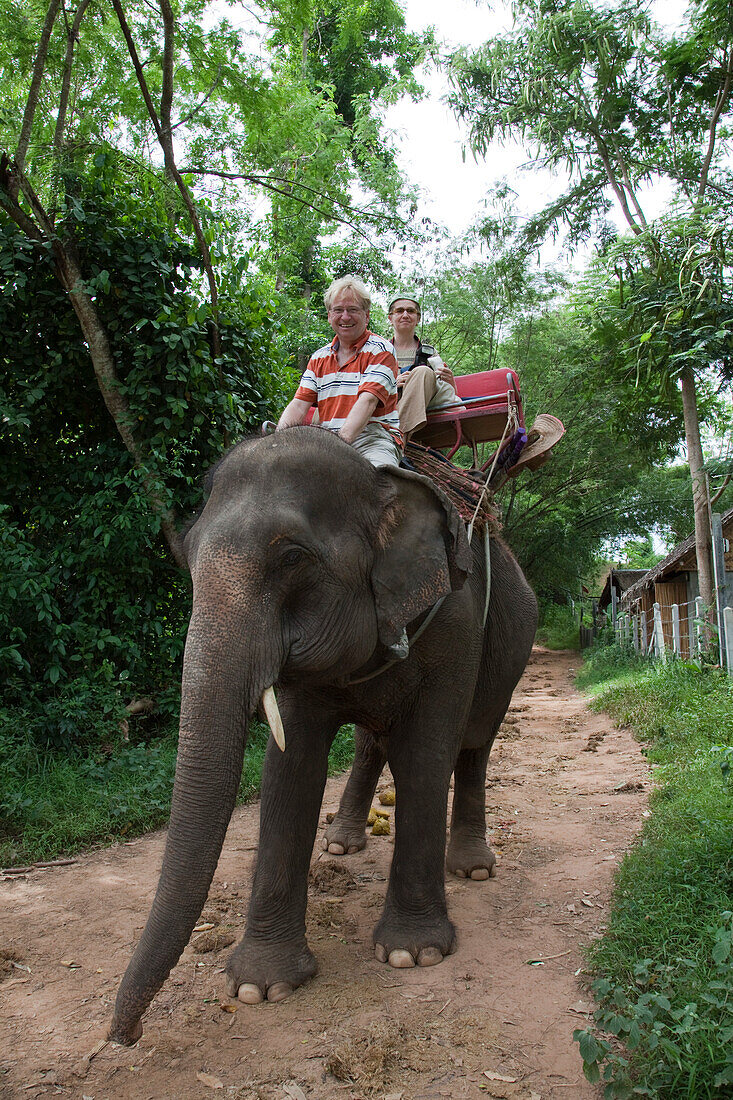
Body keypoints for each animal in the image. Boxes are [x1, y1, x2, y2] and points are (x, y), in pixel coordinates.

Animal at [108, 424, 534, 1042]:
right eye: (188, 557)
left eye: (291, 557)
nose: (125, 1035)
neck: (381, 484)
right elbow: (291, 768)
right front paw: (260, 987)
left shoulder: (455, 620)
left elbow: (425, 756)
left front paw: (413, 955)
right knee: (372, 744)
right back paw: (341, 843)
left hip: (510, 656)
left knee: (474, 746)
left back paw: (472, 868)